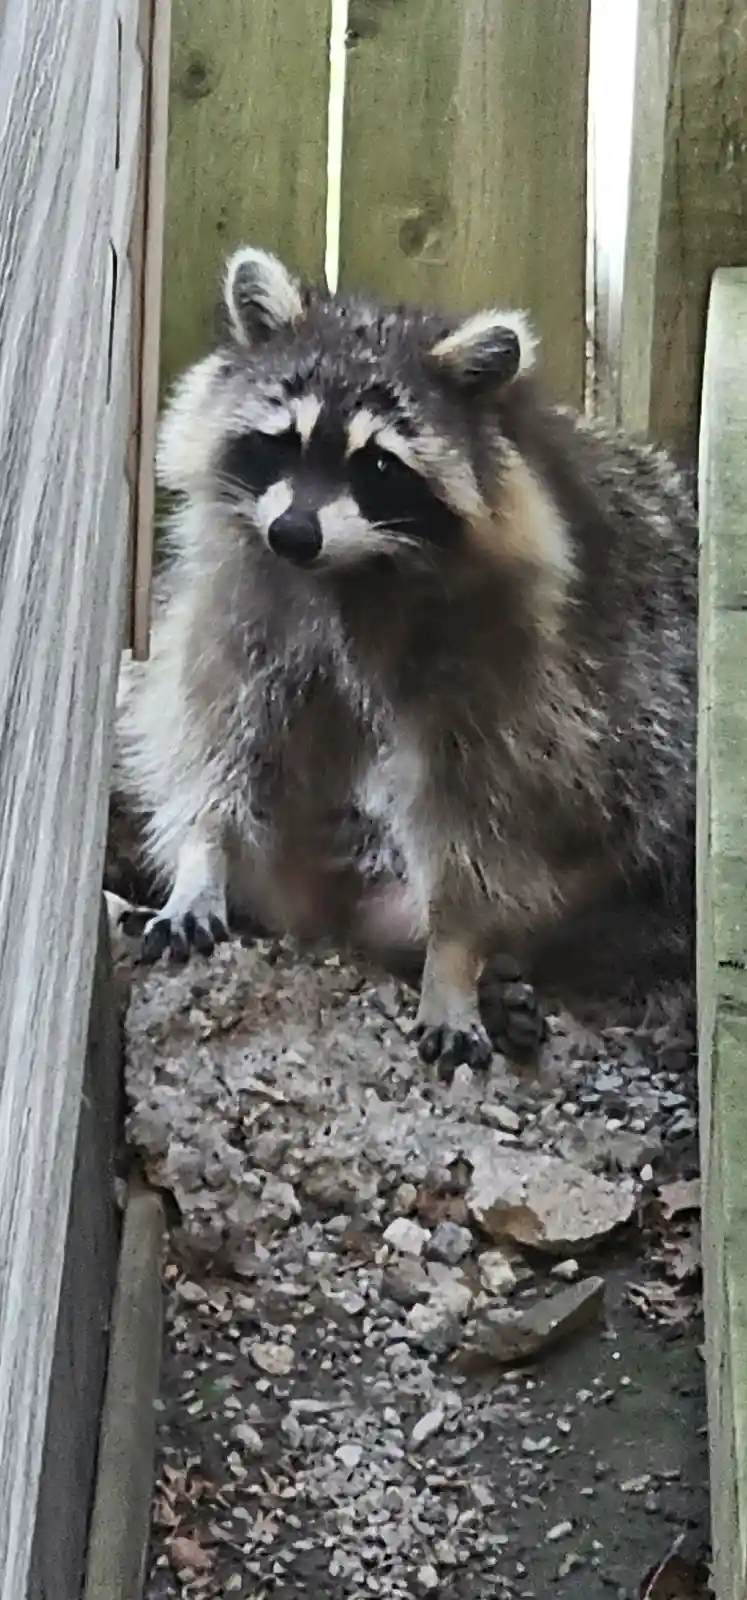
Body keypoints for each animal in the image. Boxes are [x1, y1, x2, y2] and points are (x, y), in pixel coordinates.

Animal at [117, 244, 696, 1071]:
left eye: (378, 465)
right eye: (281, 442)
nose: (293, 533)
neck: (346, 570)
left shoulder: (514, 664)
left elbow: (478, 819)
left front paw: (453, 953)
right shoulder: (242, 596)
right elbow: (217, 739)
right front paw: (203, 860)